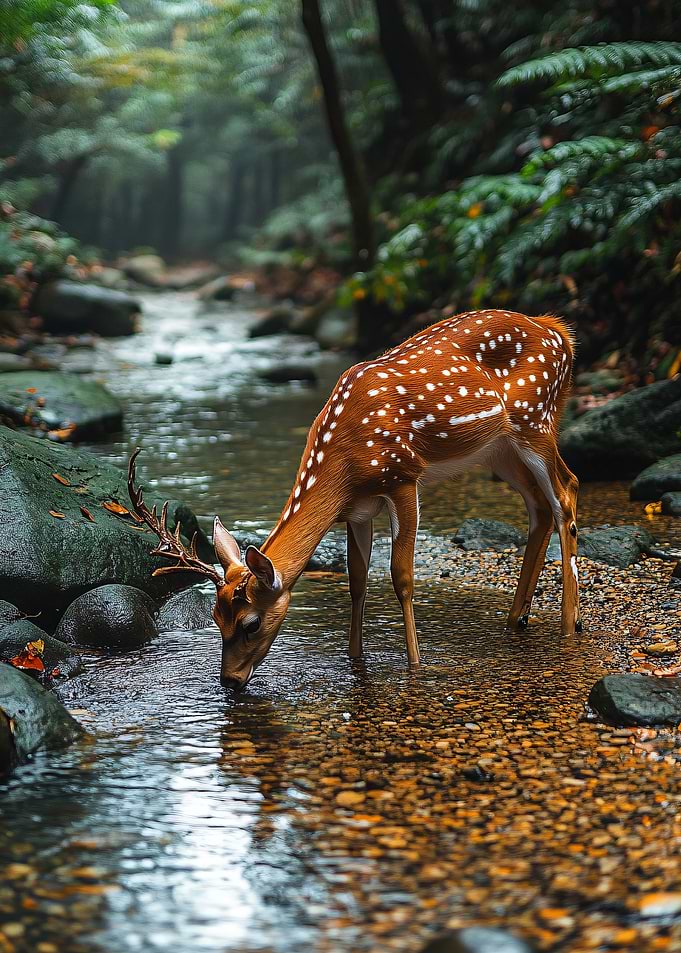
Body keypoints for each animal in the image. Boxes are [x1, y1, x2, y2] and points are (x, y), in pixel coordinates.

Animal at [128, 308, 581, 690]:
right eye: (215, 617)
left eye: (251, 623)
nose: (230, 681)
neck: (344, 460)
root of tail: (558, 332)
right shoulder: (358, 511)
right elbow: (358, 580)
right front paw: (355, 658)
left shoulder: (403, 477)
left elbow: (401, 576)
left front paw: (416, 664)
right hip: (499, 449)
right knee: (539, 506)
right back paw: (516, 618)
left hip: (534, 418)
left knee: (567, 491)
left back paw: (569, 624)